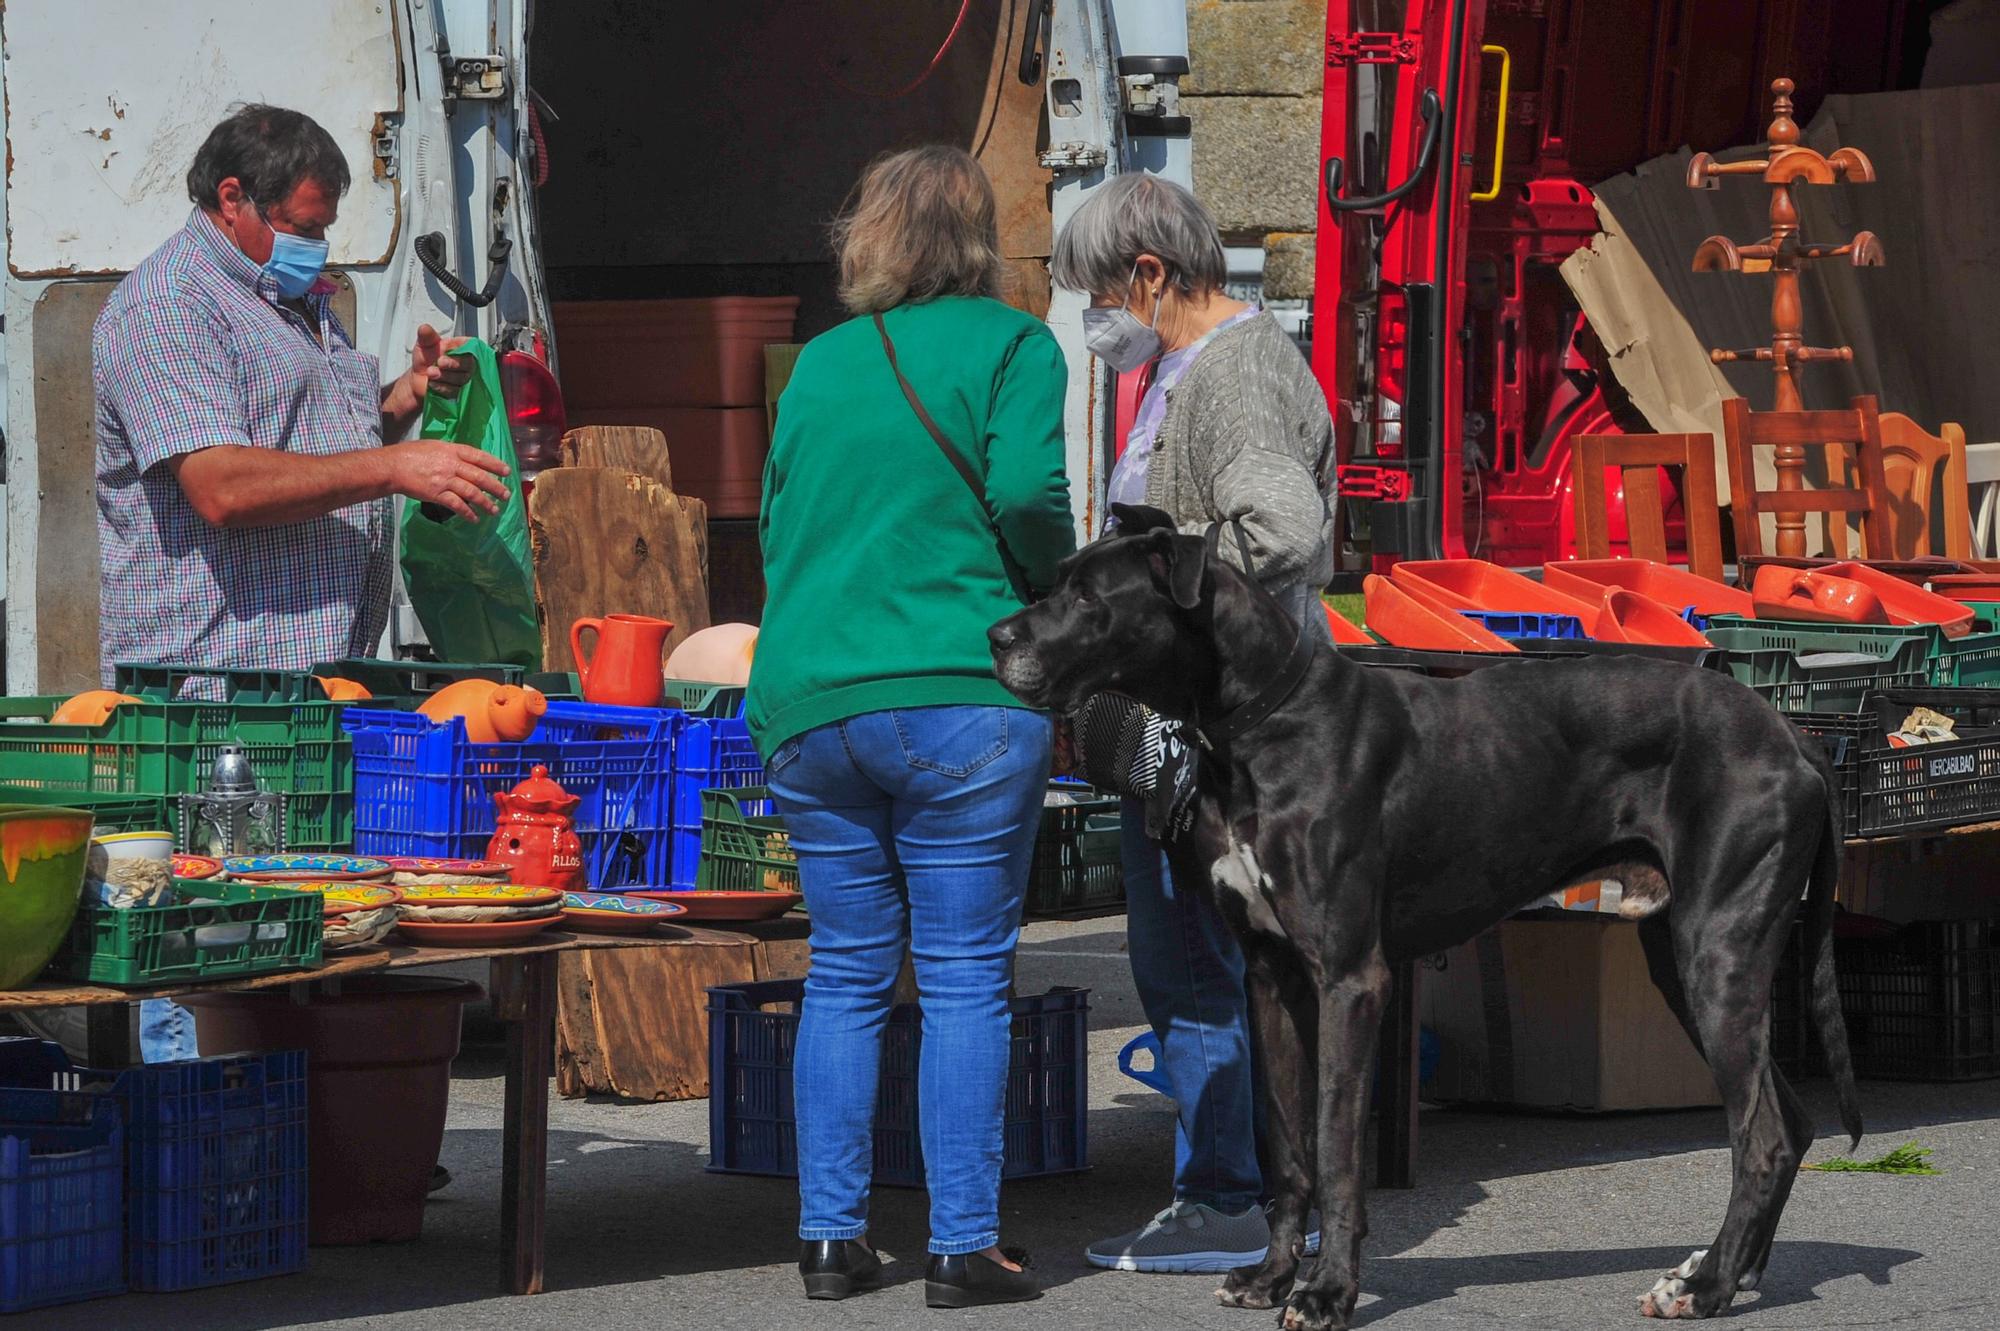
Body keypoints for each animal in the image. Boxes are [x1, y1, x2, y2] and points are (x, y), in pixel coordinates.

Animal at [992, 505, 1864, 1327]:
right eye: (1059, 578)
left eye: (1087, 596)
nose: (998, 636)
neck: (1264, 721)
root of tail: (1791, 732)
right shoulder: (1272, 979)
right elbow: (1289, 1148)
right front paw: (1272, 1276)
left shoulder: (1352, 981)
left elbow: (1337, 1150)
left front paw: (1327, 1293)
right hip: (1683, 959)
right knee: (1789, 1122)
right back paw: (1724, 1271)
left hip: (1716, 952)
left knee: (1762, 1134)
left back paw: (1706, 1287)